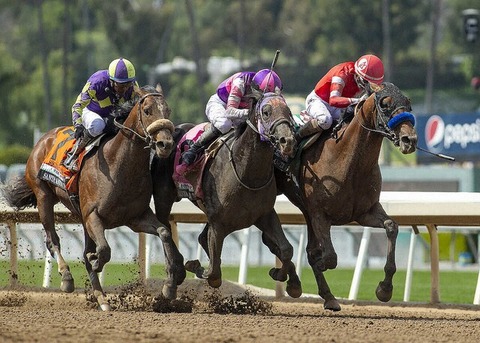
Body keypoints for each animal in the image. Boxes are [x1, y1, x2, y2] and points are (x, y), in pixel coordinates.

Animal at [1, 84, 186, 310]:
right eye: (147, 110)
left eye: (168, 111)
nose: (165, 144)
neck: (119, 165)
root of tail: (44, 138)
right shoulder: (93, 216)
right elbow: (104, 250)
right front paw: (96, 260)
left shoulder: (135, 217)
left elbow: (164, 232)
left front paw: (170, 284)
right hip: (44, 196)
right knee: (53, 240)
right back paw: (67, 277)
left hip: (80, 215)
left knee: (80, 249)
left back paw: (102, 299)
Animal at [154, 92, 302, 298]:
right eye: (266, 112)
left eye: (288, 111)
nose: (287, 141)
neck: (246, 173)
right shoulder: (218, 222)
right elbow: (214, 272)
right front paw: (194, 265)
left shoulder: (264, 215)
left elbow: (286, 249)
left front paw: (283, 276)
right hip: (163, 198)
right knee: (165, 228)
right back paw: (173, 277)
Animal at [276, 82, 418, 312]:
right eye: (385, 104)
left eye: (408, 103)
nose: (409, 140)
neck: (347, 161)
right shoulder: (319, 214)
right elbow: (329, 257)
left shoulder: (365, 212)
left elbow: (391, 227)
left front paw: (384, 288)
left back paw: (327, 296)